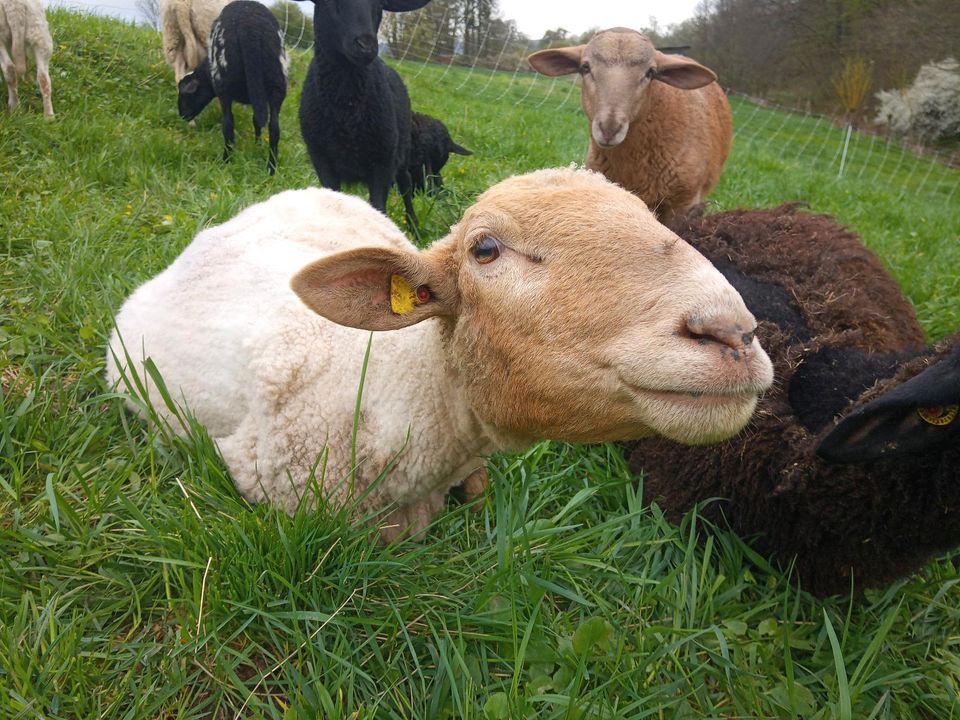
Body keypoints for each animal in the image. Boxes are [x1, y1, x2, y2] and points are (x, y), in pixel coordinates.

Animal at [177, 0, 288, 174]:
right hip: (277, 85)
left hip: (225, 87)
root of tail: (251, 28)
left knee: (228, 125)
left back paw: (226, 161)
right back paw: (271, 169)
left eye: (185, 95)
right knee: (274, 129)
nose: (182, 115)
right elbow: (256, 120)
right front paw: (257, 145)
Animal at [296, 0, 432, 225]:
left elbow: (378, 206)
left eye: (379, 6)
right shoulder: (321, 158)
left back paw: (414, 223)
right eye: (331, 3)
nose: (367, 46)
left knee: (405, 183)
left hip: (402, 150)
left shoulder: (383, 162)